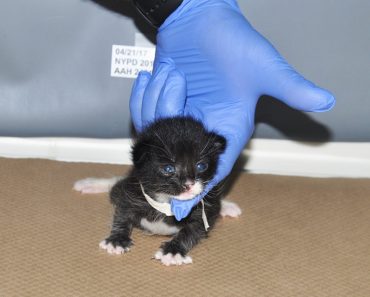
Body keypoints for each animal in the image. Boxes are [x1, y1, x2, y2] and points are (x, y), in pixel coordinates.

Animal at [73, 116, 241, 266]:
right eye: (168, 168)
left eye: (201, 166)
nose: (189, 184)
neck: (166, 200)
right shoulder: (132, 192)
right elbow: (122, 215)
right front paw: (117, 240)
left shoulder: (202, 212)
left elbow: (192, 230)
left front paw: (173, 251)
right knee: (116, 186)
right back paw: (90, 184)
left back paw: (227, 206)